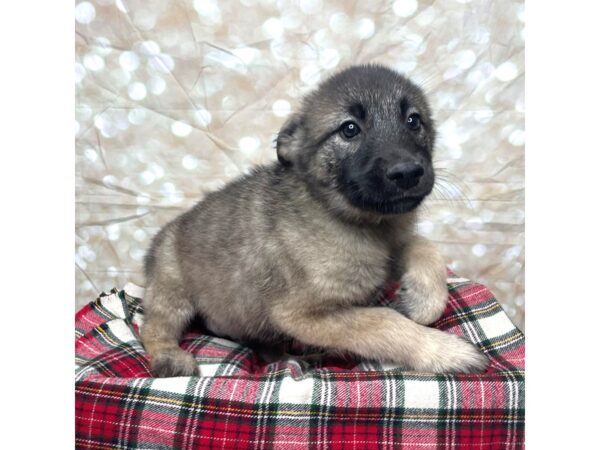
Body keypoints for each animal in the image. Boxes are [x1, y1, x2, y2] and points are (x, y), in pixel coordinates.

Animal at [141, 64, 488, 376]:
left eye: (414, 121)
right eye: (349, 129)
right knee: (153, 327)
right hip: (170, 288)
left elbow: (427, 248)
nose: (407, 173)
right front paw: (443, 351)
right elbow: (382, 322)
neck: (363, 223)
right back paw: (170, 358)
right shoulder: (301, 314)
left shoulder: (392, 247)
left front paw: (421, 302)